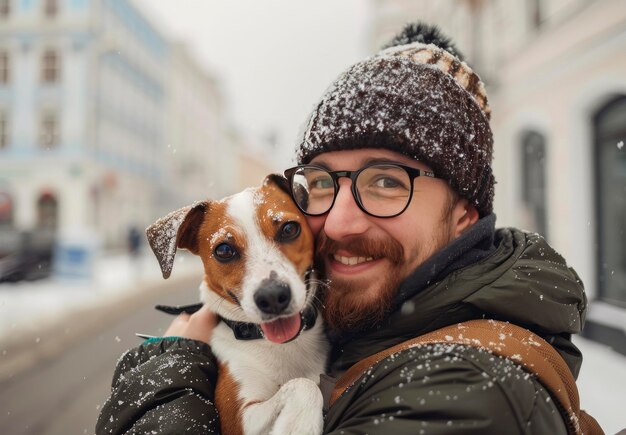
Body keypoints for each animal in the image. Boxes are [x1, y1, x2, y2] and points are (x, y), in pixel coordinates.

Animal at [143, 175, 324, 435]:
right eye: (224, 250)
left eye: (289, 229)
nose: (272, 296)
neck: (284, 347)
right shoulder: (236, 416)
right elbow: (303, 384)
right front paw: (299, 425)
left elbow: (306, 381)